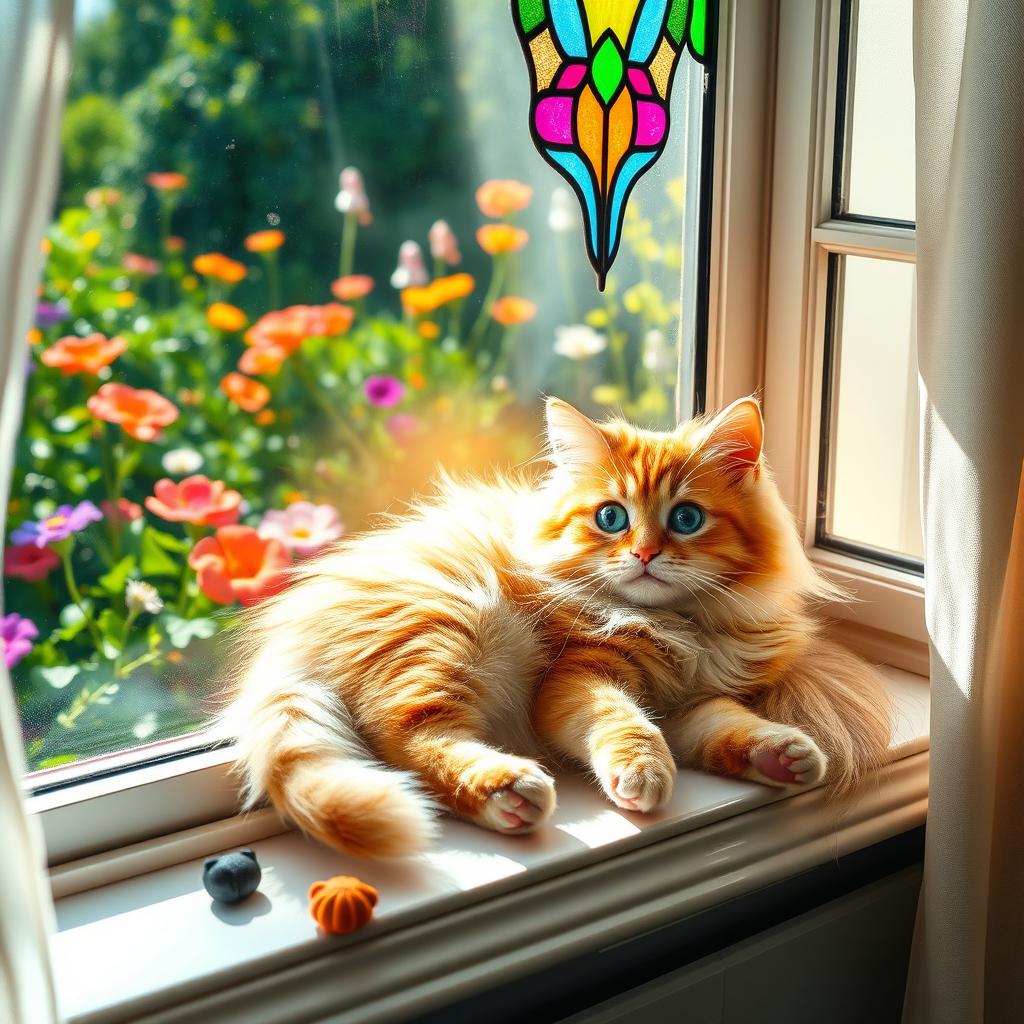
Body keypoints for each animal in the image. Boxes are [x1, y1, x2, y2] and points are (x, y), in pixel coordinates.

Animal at [228, 395, 892, 860]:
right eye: (611, 518)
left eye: (686, 518)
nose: (645, 554)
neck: (681, 626)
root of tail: (294, 632)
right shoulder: (578, 678)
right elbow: (625, 725)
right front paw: (642, 773)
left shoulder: (695, 702)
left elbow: (730, 726)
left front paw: (783, 755)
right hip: (445, 631)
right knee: (407, 739)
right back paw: (509, 789)